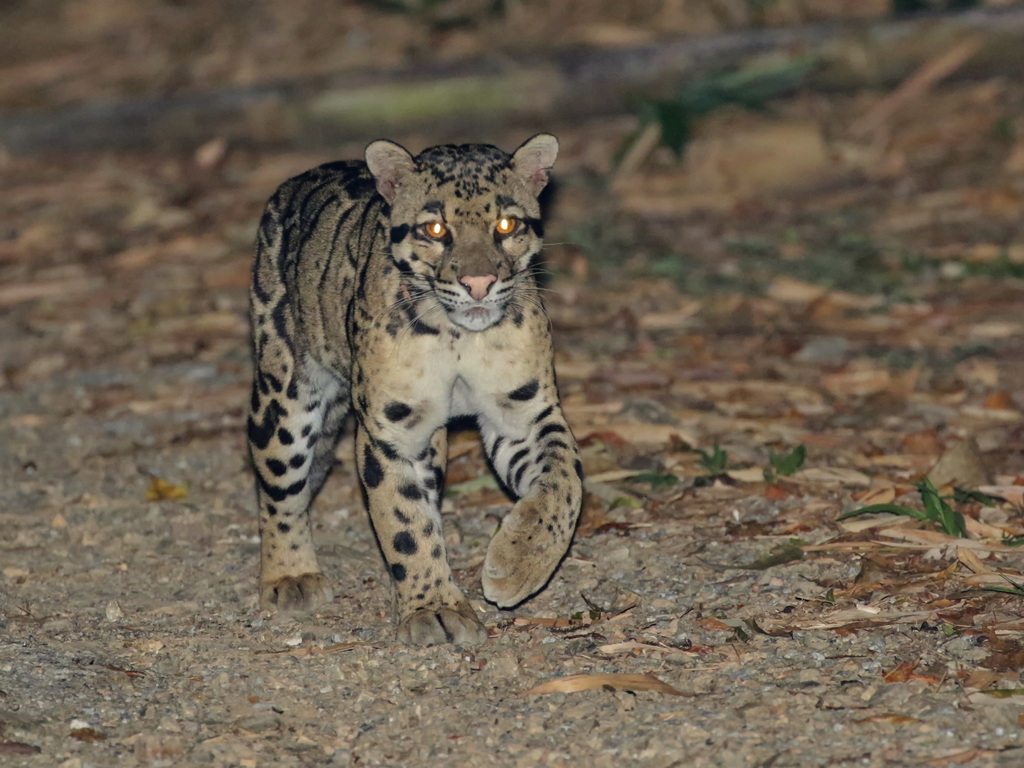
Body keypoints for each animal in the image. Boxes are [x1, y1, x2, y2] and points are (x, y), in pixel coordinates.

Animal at [247, 134, 584, 645]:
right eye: (435, 229)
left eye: (506, 224)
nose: (479, 283)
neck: (459, 337)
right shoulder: (391, 430)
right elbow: (403, 519)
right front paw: (434, 608)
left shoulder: (524, 412)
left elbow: (565, 482)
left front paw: (519, 563)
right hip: (284, 390)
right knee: (278, 487)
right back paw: (291, 575)